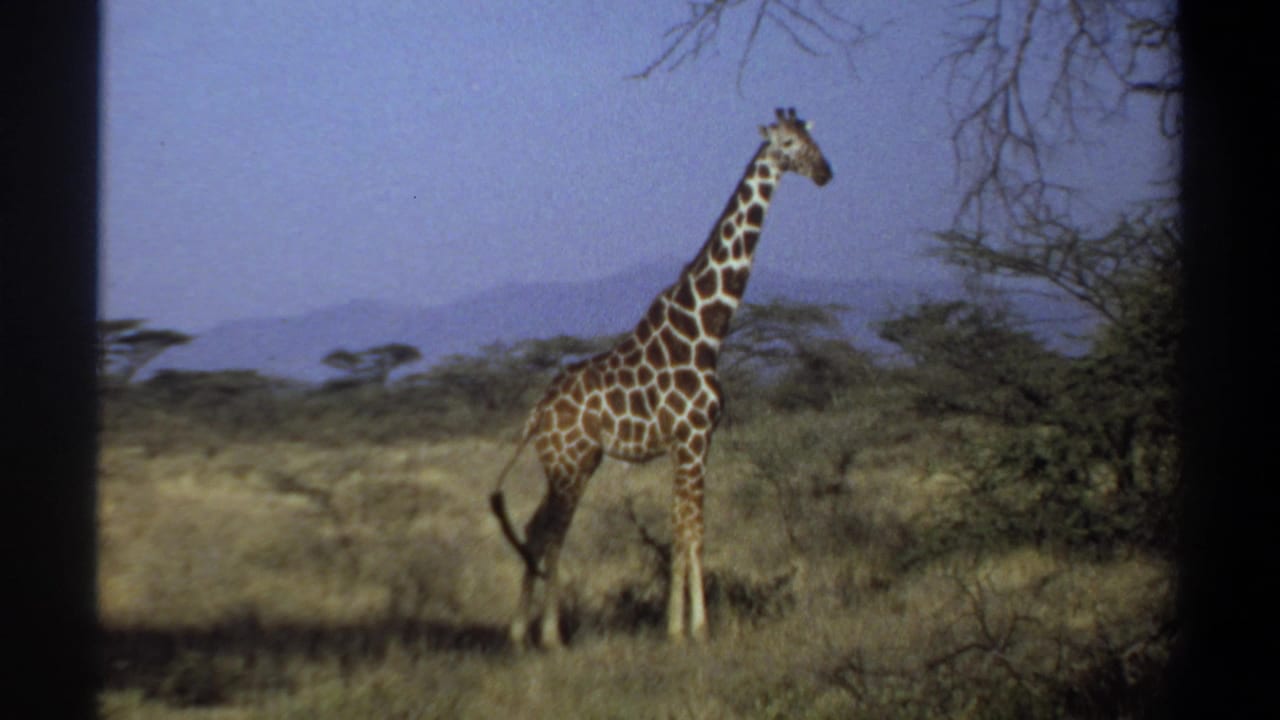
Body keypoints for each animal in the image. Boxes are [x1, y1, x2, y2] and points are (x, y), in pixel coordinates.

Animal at [490, 107, 832, 648]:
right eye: (785, 144)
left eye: (810, 139)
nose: (824, 172)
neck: (707, 328)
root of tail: (536, 413)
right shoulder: (691, 438)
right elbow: (691, 531)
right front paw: (691, 628)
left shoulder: (694, 441)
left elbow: (684, 529)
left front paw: (681, 624)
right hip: (569, 464)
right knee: (553, 533)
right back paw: (551, 634)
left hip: (573, 462)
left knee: (534, 527)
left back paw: (522, 633)